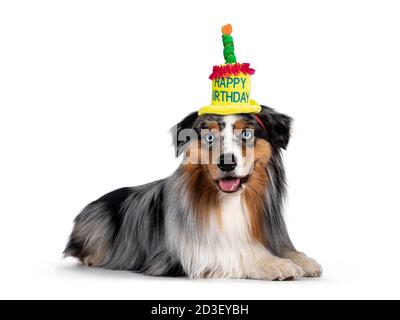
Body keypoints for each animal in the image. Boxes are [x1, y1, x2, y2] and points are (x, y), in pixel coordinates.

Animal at [65, 105, 322, 280]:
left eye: (247, 134)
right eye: (209, 137)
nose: (226, 163)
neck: (229, 200)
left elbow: (284, 249)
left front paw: (303, 260)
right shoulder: (194, 254)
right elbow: (237, 254)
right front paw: (276, 264)